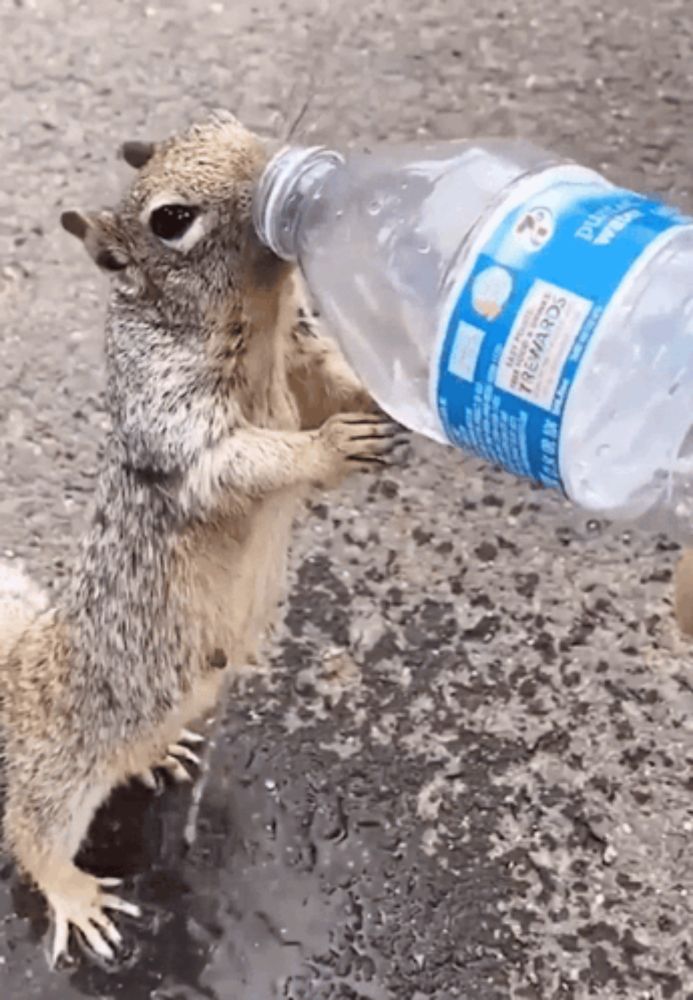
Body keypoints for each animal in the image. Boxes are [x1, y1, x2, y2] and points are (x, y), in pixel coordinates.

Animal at [0, 107, 400, 960]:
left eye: (222, 122)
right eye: (171, 220)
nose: (275, 162)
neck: (261, 322)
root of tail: (18, 677)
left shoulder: (304, 359)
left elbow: (333, 386)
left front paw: (386, 400)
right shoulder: (177, 425)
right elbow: (243, 461)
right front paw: (326, 450)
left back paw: (164, 753)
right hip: (64, 758)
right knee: (33, 828)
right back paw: (75, 895)